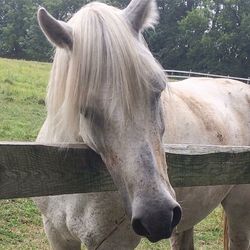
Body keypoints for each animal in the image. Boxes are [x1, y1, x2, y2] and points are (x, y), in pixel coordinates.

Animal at [33, 0, 250, 250]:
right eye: (86, 109)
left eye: (157, 91)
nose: (157, 217)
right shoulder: (57, 234)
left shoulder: (114, 243)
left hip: (239, 208)